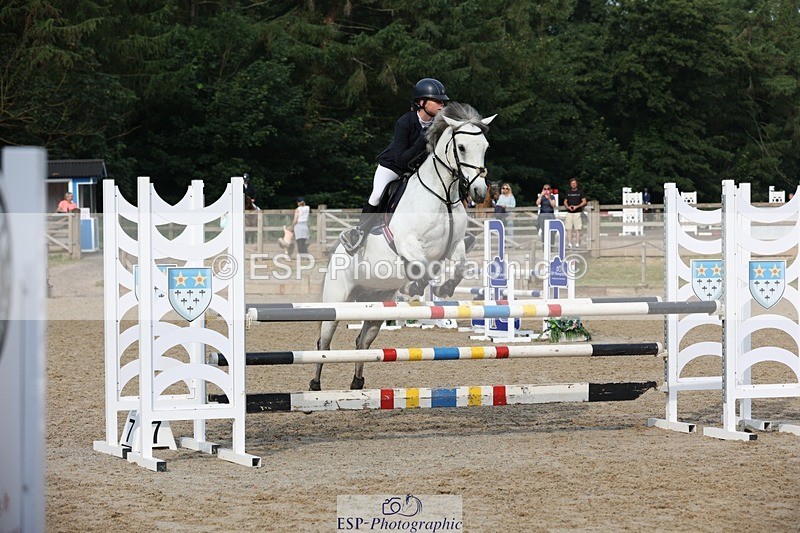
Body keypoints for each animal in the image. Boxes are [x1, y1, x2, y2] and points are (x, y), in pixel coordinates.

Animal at [311, 102, 496, 391]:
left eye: (485, 146)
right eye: (462, 147)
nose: (478, 192)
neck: (442, 195)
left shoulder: (454, 245)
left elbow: (459, 265)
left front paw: (444, 287)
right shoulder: (407, 242)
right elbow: (420, 265)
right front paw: (415, 287)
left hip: (377, 303)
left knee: (362, 341)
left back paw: (357, 383)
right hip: (336, 300)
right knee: (324, 343)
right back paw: (315, 385)